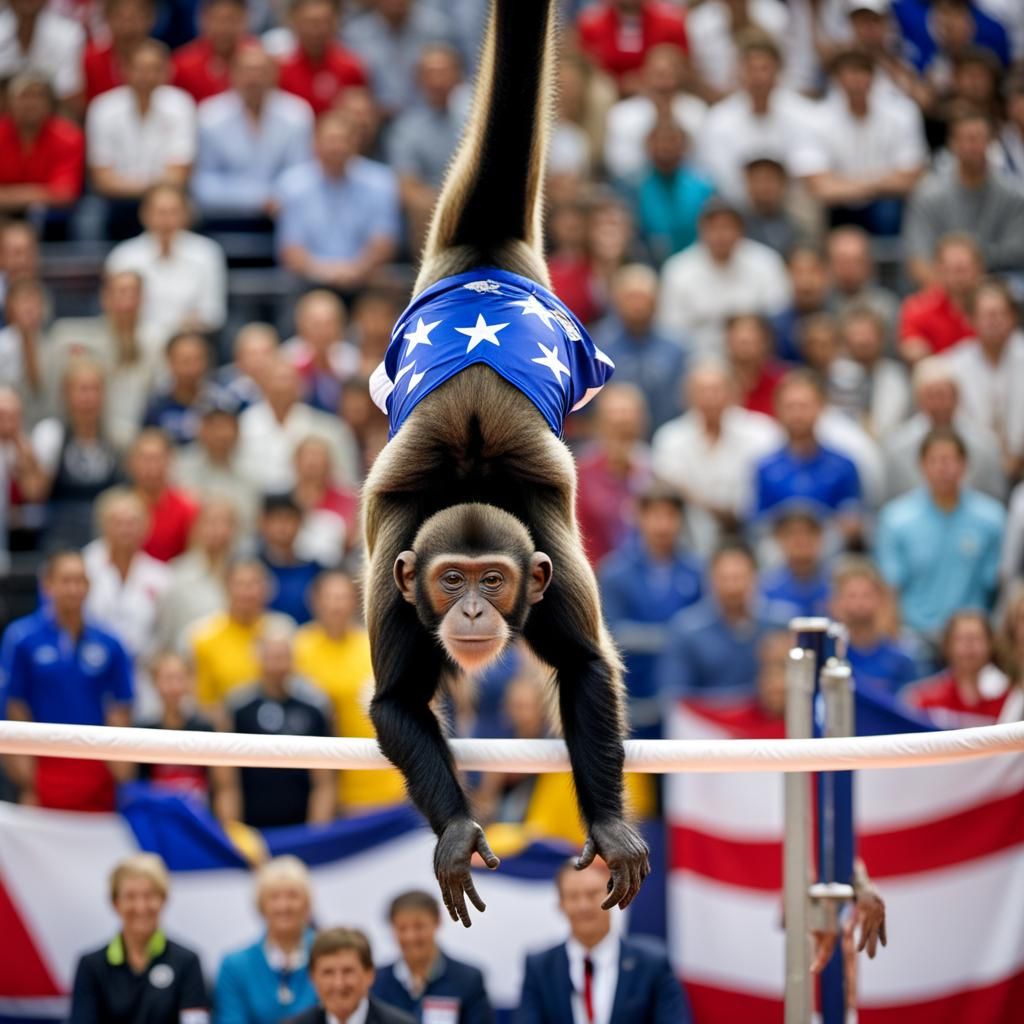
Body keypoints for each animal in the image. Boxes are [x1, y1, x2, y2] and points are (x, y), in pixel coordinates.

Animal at [363, 0, 650, 927]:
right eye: (451, 580)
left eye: (494, 579)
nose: (474, 612)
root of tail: (486, 262)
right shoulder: (396, 583)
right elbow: (395, 701)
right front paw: (457, 830)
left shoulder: (548, 568)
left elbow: (587, 664)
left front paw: (609, 823)